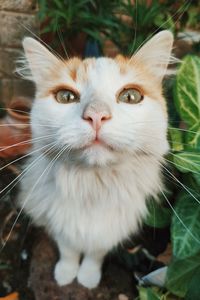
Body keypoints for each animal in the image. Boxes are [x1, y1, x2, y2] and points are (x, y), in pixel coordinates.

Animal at [17, 29, 173, 288]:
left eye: (131, 96)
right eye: (65, 96)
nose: (96, 116)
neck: (93, 187)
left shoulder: (109, 232)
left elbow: (94, 255)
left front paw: (88, 278)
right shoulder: (60, 223)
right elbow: (69, 251)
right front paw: (65, 275)